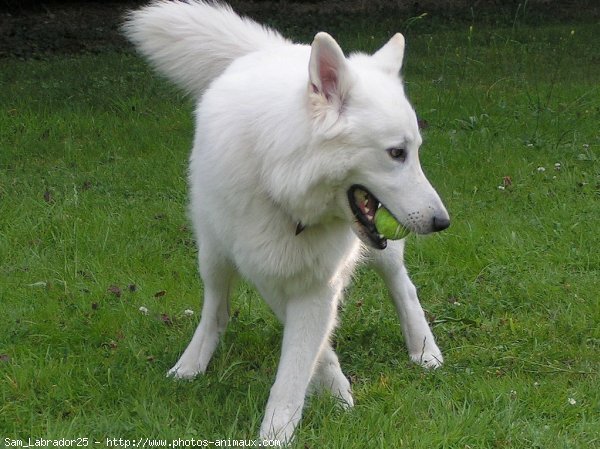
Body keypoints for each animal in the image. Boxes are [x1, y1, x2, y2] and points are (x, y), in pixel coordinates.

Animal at [124, 0, 448, 440]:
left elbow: (298, 364)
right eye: (396, 153)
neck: (280, 180)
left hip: (383, 252)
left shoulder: (317, 284)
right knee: (216, 312)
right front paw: (334, 390)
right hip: (214, 255)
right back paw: (192, 363)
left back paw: (423, 349)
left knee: (403, 286)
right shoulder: (268, 273)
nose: (442, 222)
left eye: (414, 151)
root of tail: (271, 49)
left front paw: (281, 428)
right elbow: (310, 351)